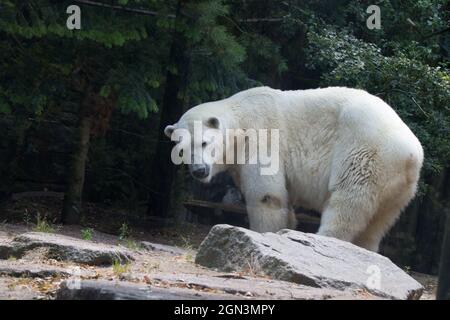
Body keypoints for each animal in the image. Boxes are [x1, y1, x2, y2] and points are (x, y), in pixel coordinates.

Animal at [163, 86, 424, 251]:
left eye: (203, 143)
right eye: (181, 148)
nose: (199, 170)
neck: (241, 118)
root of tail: (412, 152)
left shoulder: (262, 138)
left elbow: (267, 196)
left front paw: (262, 236)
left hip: (364, 152)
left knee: (347, 204)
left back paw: (322, 239)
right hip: (397, 185)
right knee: (377, 223)